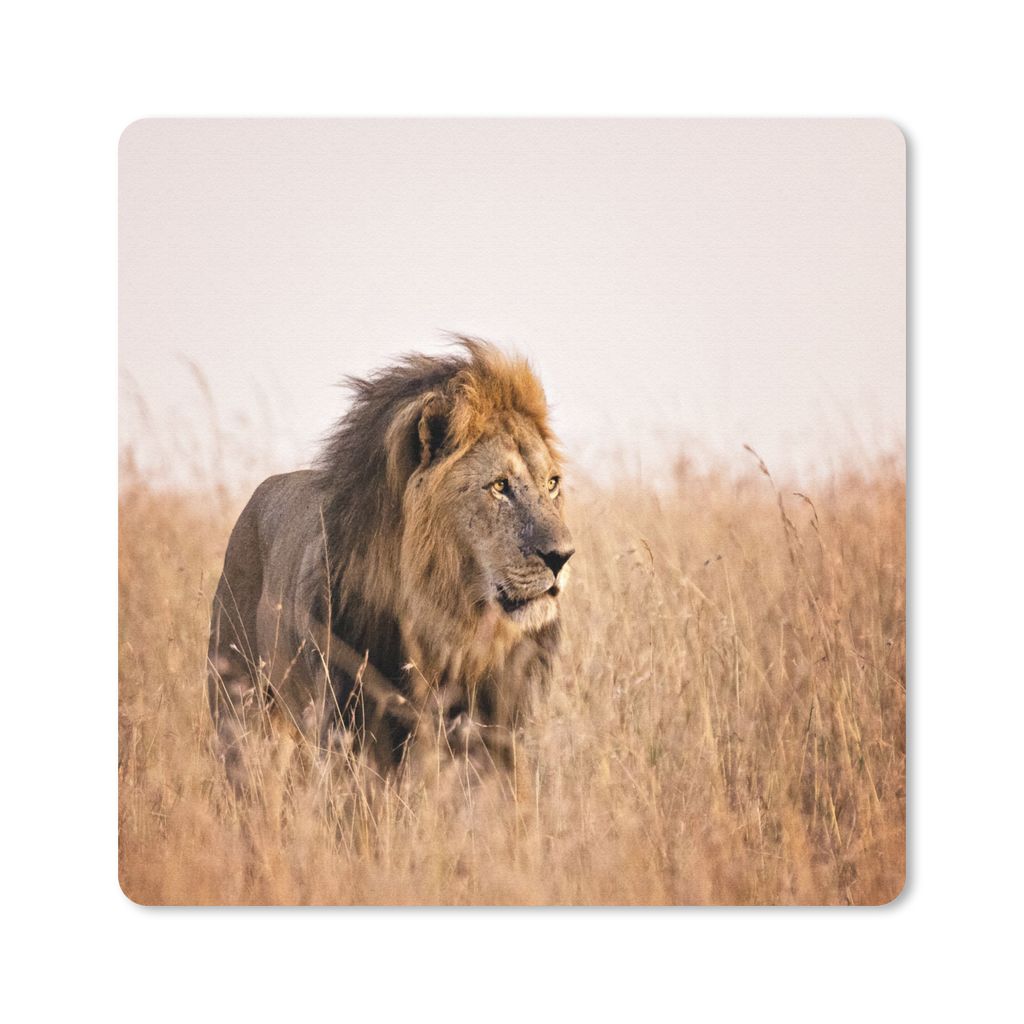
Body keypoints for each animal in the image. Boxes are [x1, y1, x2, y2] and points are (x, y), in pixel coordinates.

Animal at [207, 338, 574, 792]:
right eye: (500, 486)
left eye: (552, 484)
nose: (563, 556)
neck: (449, 622)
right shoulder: (352, 726)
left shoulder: (496, 728)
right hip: (240, 706)